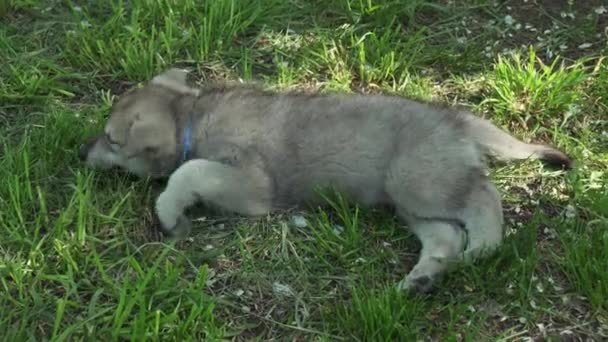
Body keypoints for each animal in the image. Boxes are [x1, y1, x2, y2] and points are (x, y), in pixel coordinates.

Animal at [79, 68, 568, 292]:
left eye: (111, 138)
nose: (81, 152)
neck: (191, 119)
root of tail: (458, 120)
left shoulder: (253, 185)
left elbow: (188, 170)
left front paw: (170, 214)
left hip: (419, 181)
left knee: (484, 196)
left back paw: (483, 247)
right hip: (410, 199)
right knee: (445, 235)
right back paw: (422, 278)